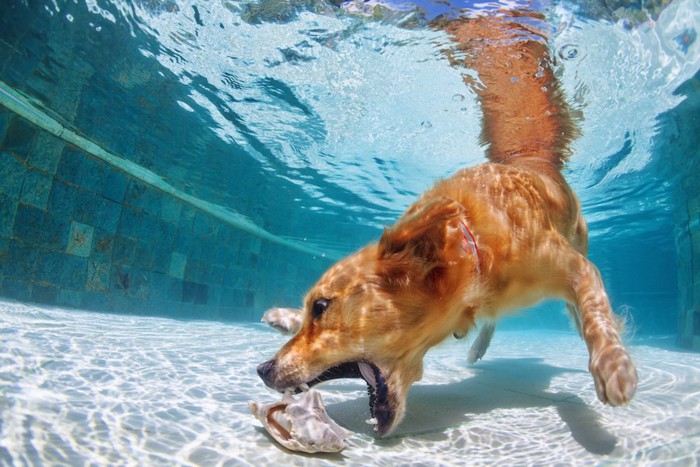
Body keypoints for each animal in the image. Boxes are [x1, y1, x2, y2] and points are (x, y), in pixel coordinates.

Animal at [258, 11, 640, 436]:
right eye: (311, 308)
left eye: (322, 307)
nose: (262, 369)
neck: (475, 254)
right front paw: (285, 316)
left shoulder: (573, 267)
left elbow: (593, 307)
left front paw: (613, 366)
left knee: (577, 308)